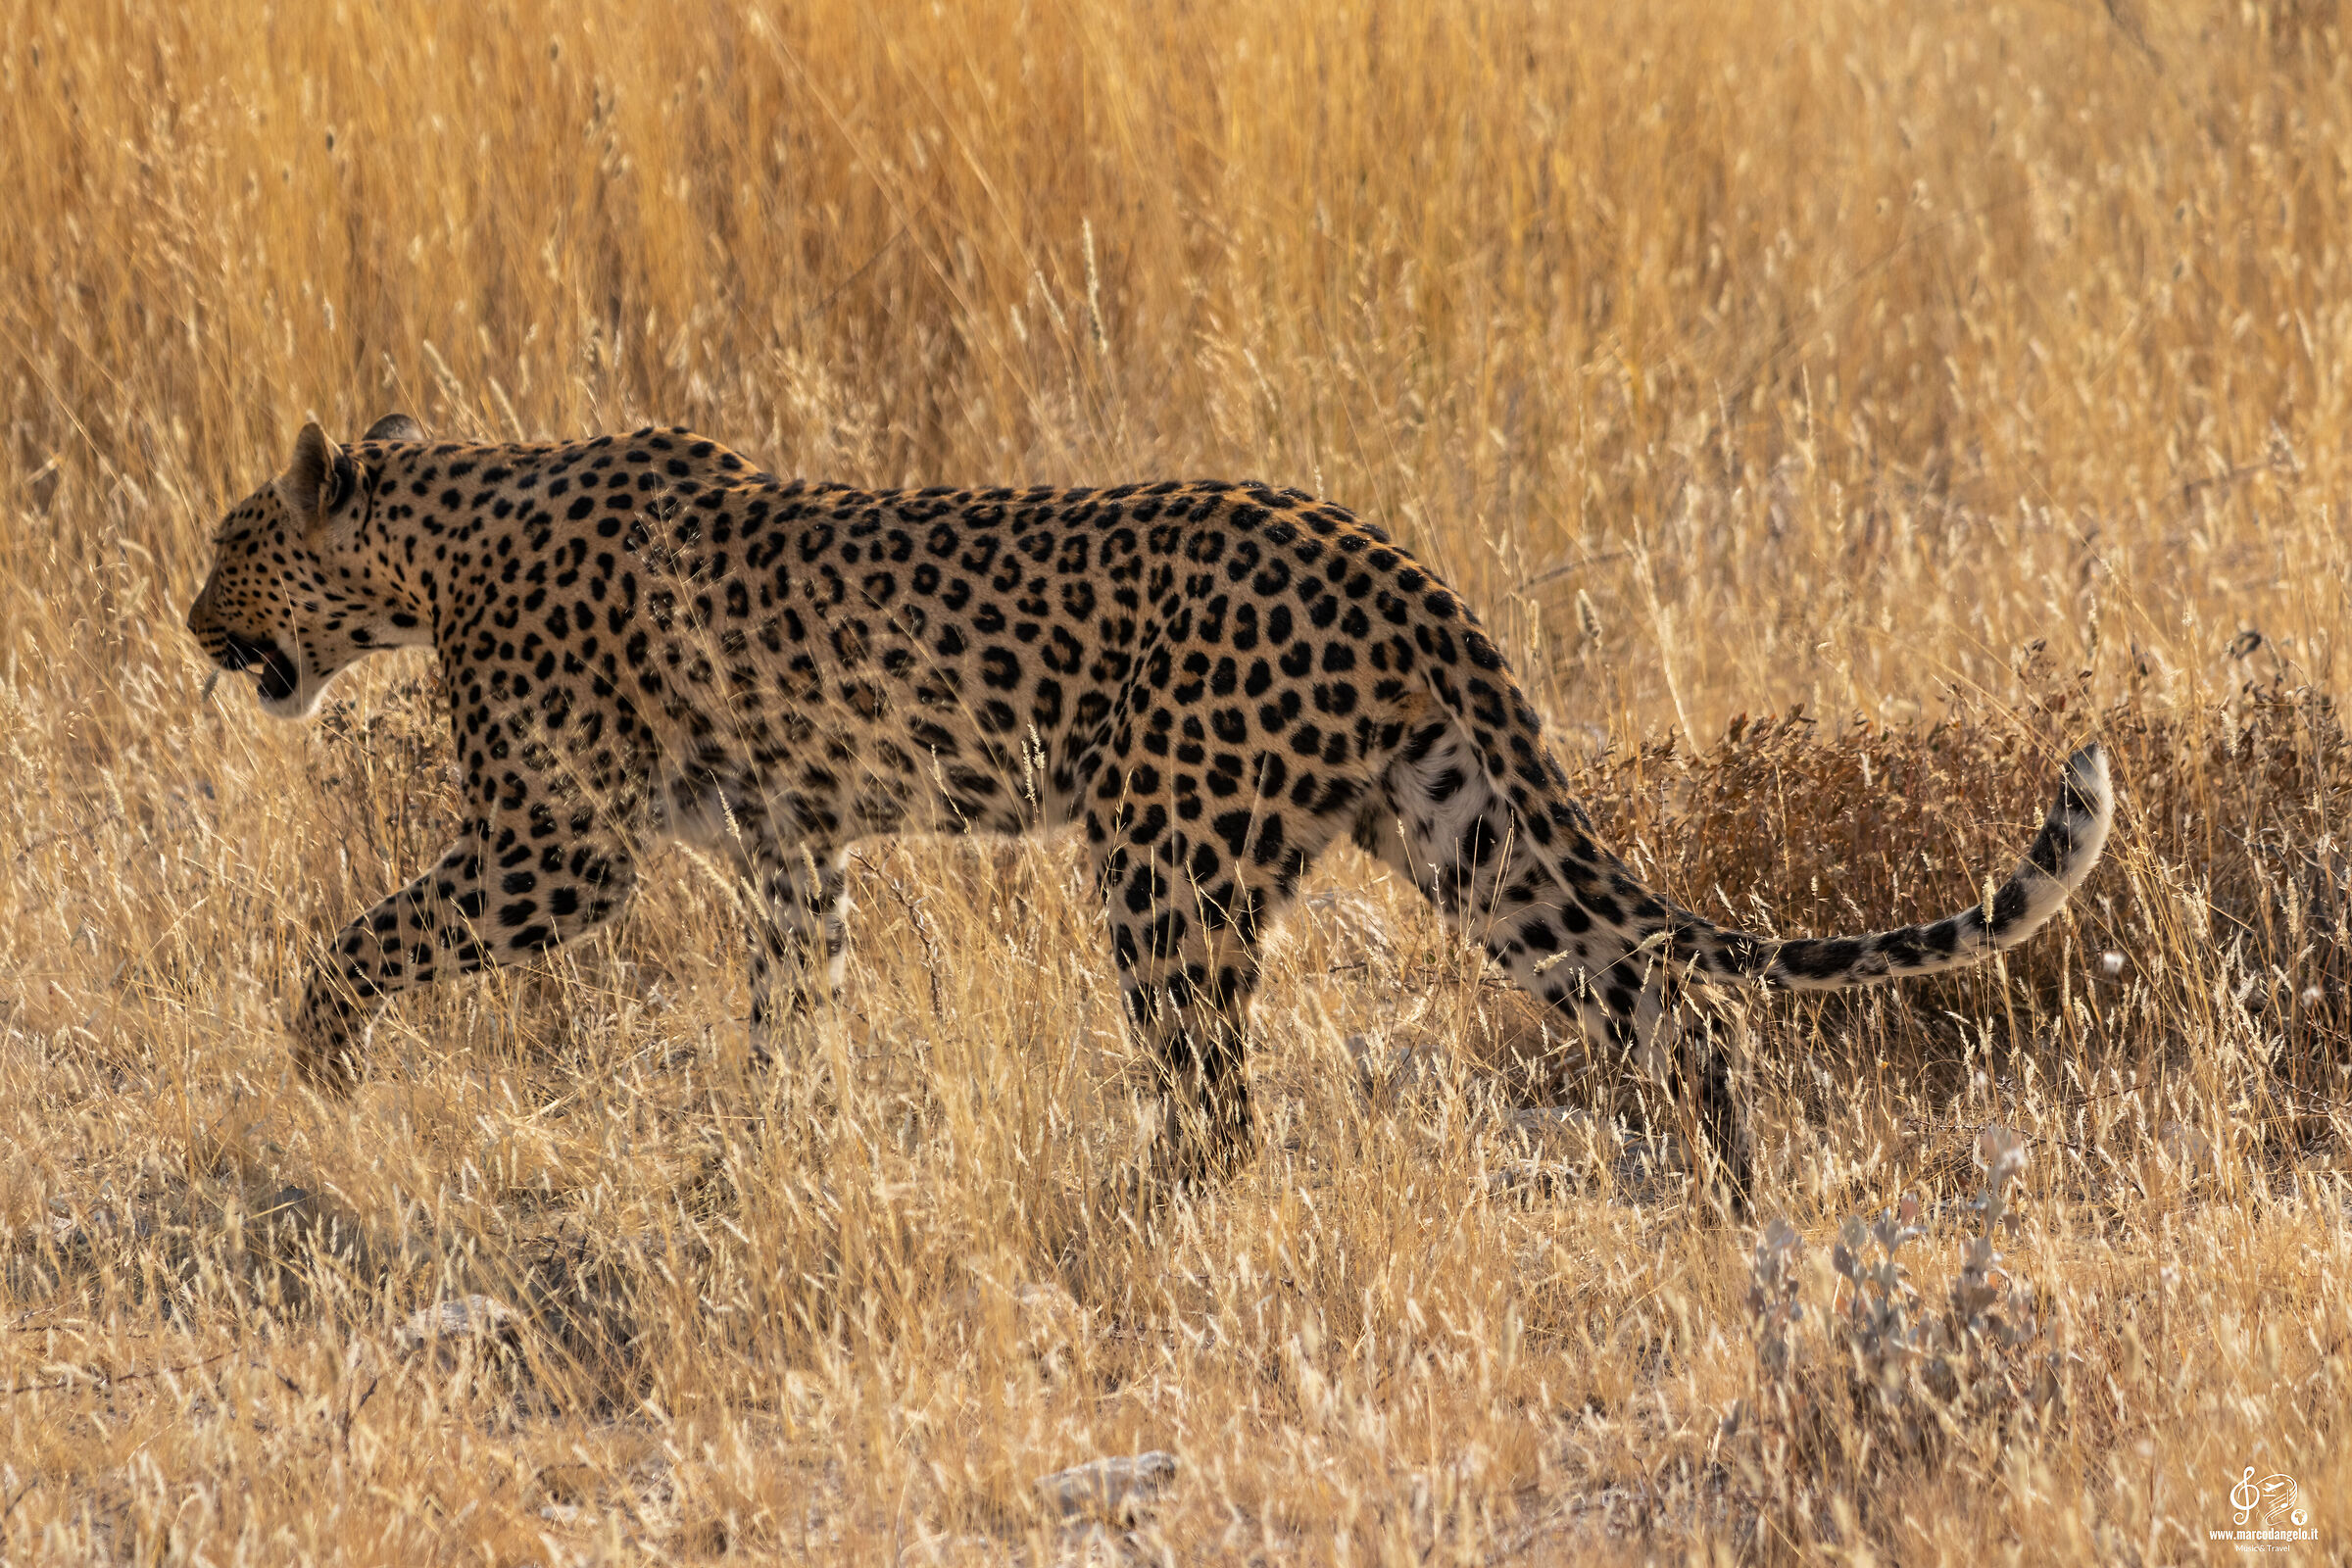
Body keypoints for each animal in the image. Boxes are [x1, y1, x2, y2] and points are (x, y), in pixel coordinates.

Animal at [185, 414, 2114, 1205]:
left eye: (229, 543)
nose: (192, 622)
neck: (443, 536)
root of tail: (1386, 555)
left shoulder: (555, 848)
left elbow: (365, 936)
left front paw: (316, 1067)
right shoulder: (793, 850)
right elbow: (792, 1008)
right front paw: (770, 1146)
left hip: (1166, 853)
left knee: (1218, 1096)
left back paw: (1139, 1215)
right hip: (1464, 832)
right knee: (1672, 1003)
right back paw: (1725, 1198)